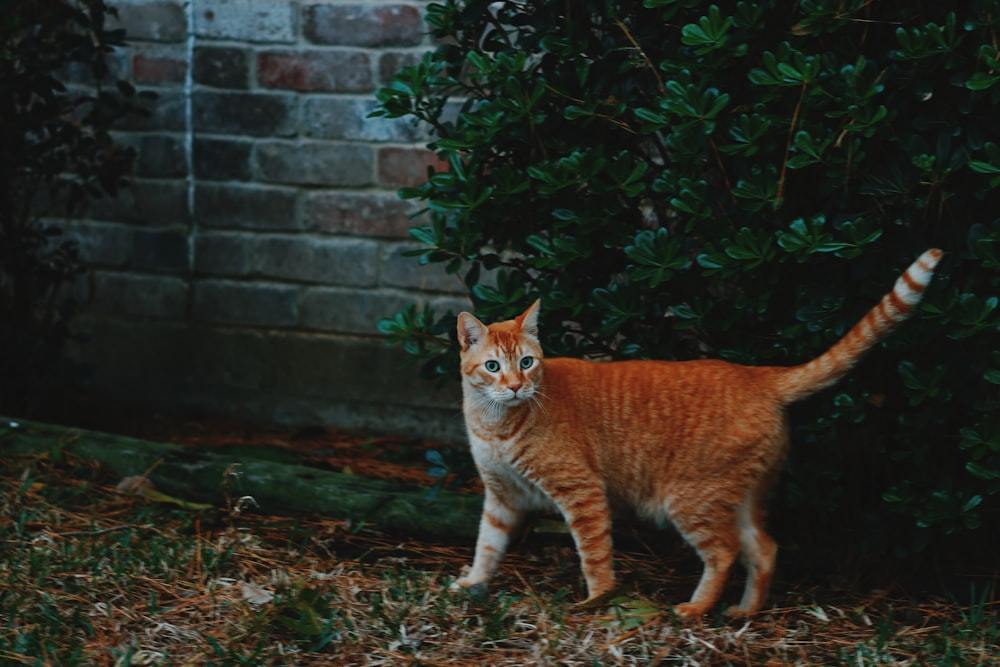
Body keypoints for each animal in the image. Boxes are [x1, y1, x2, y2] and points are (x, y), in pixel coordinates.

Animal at [454, 249, 944, 616]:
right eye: (494, 366)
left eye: (527, 362)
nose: (515, 386)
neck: (495, 422)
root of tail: (756, 375)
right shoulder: (500, 496)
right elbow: (486, 544)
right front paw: (474, 581)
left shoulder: (582, 493)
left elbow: (594, 555)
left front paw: (599, 600)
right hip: (737, 497)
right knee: (764, 548)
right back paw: (745, 611)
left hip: (691, 499)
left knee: (724, 552)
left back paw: (696, 609)